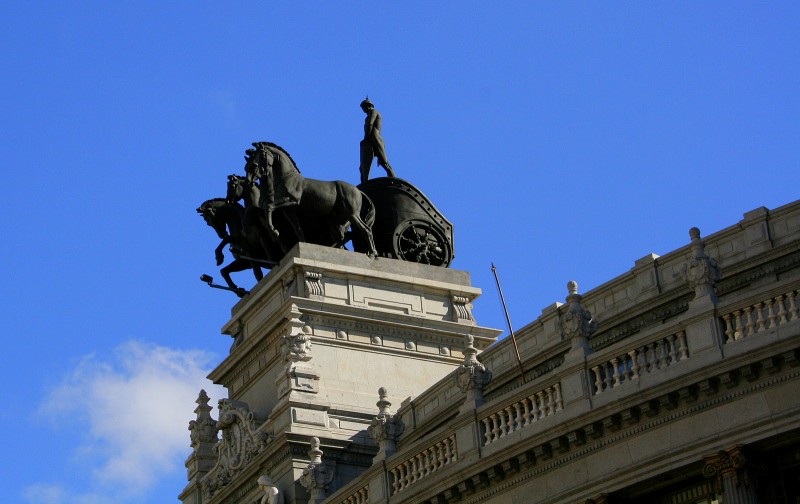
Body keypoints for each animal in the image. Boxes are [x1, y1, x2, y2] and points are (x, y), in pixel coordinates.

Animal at [245, 144, 380, 258]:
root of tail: (357, 190)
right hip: (335, 222)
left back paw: (373, 253)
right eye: (246, 167)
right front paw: (303, 244)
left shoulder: (292, 200)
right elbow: (298, 229)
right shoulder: (289, 211)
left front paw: (274, 232)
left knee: (365, 230)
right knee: (343, 237)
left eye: (254, 164)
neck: (286, 177)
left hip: (352, 214)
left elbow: (269, 207)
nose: (249, 182)